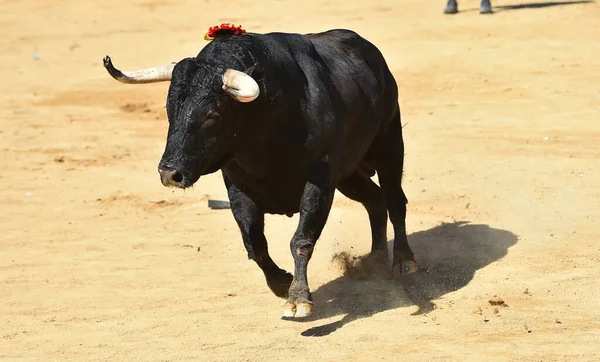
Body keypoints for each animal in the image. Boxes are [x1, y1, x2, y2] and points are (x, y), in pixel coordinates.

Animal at [103, 27, 418, 316]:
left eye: (211, 116)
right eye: (170, 110)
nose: (170, 173)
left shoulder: (319, 181)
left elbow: (301, 239)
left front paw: (298, 299)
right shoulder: (238, 187)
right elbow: (255, 244)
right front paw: (281, 284)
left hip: (389, 144)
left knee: (394, 199)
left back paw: (402, 260)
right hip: (348, 173)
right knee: (374, 200)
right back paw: (375, 260)